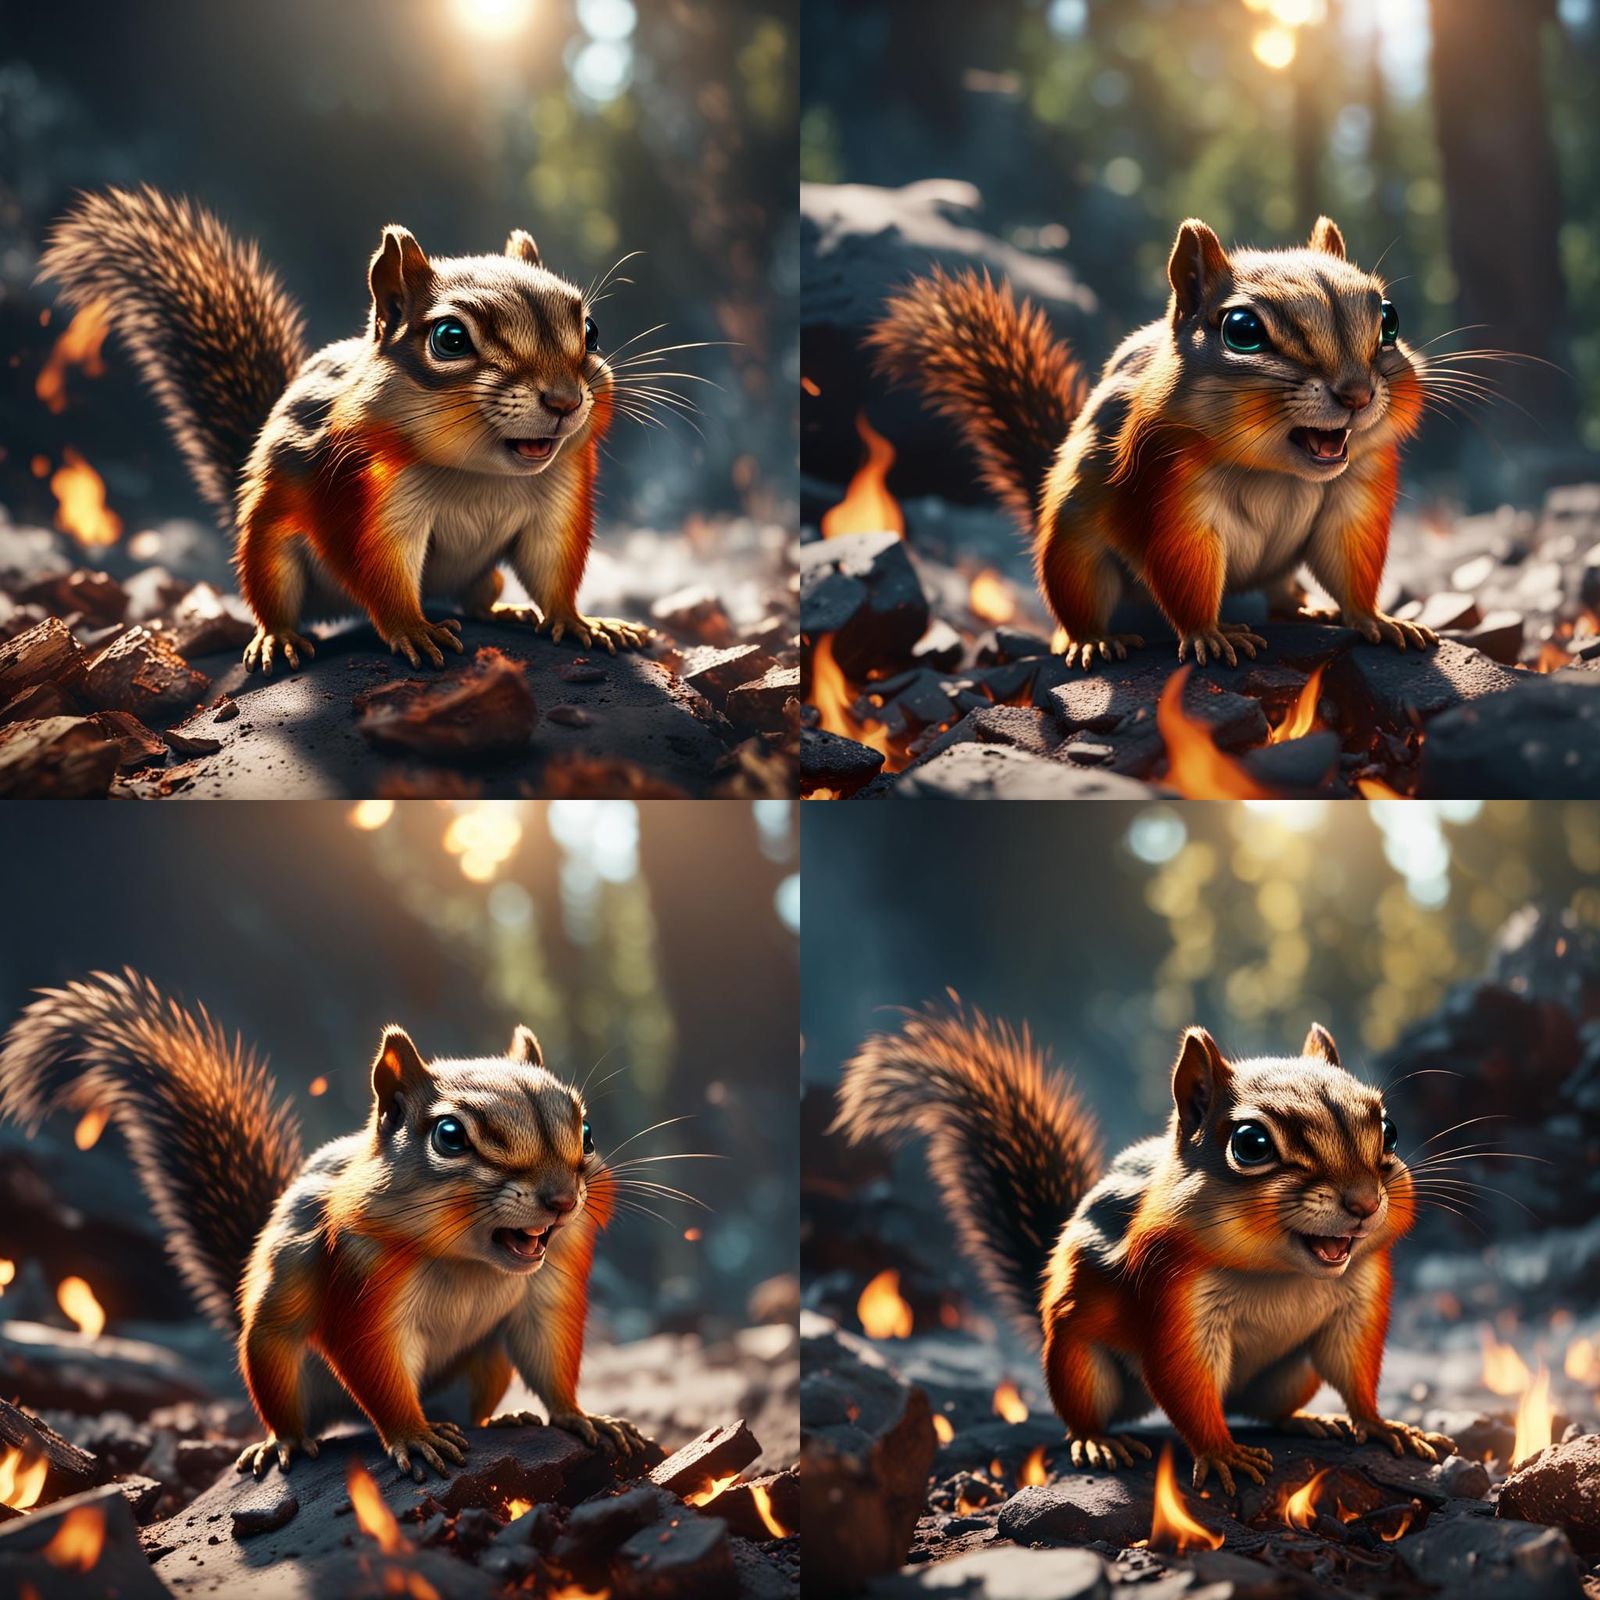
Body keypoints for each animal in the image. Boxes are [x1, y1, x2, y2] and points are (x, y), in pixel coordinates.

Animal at [0, 970, 646, 1480]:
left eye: (587, 1134)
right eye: (449, 1136)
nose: (562, 1200)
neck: (465, 1258)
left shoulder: (550, 1281)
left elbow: (549, 1348)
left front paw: (580, 1416)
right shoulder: (355, 1273)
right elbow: (372, 1361)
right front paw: (413, 1435)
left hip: (483, 1366)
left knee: (475, 1406)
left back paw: (503, 1415)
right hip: (270, 1353)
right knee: (290, 1404)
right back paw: (283, 1442)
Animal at [38, 186, 652, 674]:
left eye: (592, 331)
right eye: (450, 339)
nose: (565, 400)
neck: (478, 473)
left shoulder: (557, 498)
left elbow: (553, 568)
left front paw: (581, 621)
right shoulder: (361, 495)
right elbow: (378, 569)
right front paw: (413, 629)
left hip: (479, 574)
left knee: (480, 596)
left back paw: (505, 608)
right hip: (267, 548)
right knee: (274, 595)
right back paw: (277, 637)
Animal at [831, 1003, 1455, 1493]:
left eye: (1390, 1131)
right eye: (1251, 1144)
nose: (1364, 1202)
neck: (1280, 1271)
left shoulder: (1358, 1299)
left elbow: (1355, 1368)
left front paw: (1382, 1425)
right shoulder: (1170, 1298)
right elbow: (1184, 1377)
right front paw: (1221, 1452)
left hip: (1290, 1374)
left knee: (1271, 1408)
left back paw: (1307, 1421)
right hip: (1078, 1363)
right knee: (1087, 1408)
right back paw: (1098, 1442)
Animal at [869, 216, 1440, 671]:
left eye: (1389, 320)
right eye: (1243, 330)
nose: (1357, 394)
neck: (1274, 469)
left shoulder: (1354, 496)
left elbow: (1349, 561)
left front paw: (1377, 619)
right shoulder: (1166, 493)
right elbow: (1181, 566)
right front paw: (1210, 633)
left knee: (1279, 592)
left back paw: (1304, 607)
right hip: (1071, 554)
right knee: (1078, 598)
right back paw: (1091, 641)